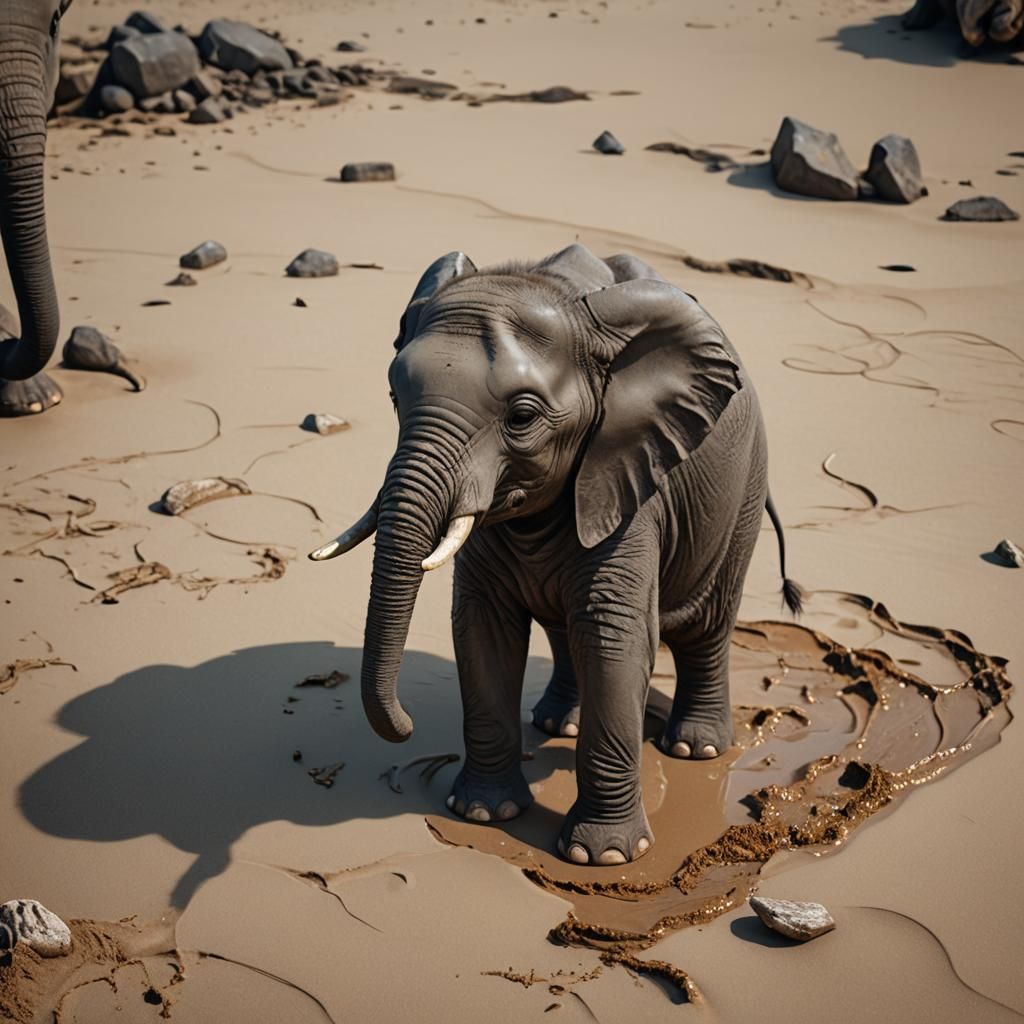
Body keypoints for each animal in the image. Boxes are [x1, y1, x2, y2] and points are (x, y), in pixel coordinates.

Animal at [311, 244, 801, 867]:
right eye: (396, 399)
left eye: (522, 418)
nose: (407, 726)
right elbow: (482, 629)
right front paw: (482, 813)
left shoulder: (630, 485)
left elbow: (614, 638)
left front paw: (604, 857)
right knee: (567, 634)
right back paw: (557, 723)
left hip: (741, 491)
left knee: (705, 625)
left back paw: (696, 750)